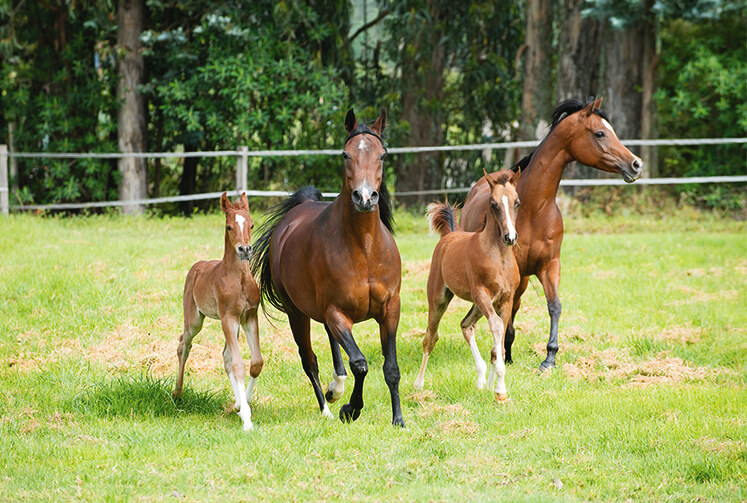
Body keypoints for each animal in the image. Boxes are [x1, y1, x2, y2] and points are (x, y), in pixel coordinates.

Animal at [173, 193, 262, 434]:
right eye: (229, 226)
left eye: (251, 224)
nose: (245, 249)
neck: (239, 279)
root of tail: (197, 266)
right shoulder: (228, 317)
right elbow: (238, 364)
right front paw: (247, 420)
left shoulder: (249, 317)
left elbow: (255, 362)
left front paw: (242, 405)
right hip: (194, 319)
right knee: (183, 344)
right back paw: (177, 392)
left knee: (225, 355)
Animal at [251, 108, 406, 428]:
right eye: (346, 154)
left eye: (382, 155)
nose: (365, 197)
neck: (364, 249)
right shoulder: (336, 312)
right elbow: (360, 363)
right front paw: (351, 409)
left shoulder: (390, 310)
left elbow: (391, 368)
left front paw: (398, 419)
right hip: (298, 314)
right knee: (309, 359)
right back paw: (327, 405)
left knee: (332, 345)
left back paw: (336, 386)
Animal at [414, 169, 520, 402]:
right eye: (493, 204)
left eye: (517, 202)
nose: (509, 237)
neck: (499, 257)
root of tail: (449, 235)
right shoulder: (481, 293)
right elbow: (496, 326)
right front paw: (501, 389)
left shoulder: (505, 299)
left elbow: (498, 344)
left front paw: (493, 387)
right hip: (439, 299)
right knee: (430, 338)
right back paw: (419, 385)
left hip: (479, 306)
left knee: (466, 324)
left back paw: (481, 381)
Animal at [462, 99, 644, 374]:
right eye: (600, 133)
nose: (636, 164)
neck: (533, 209)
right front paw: (504, 354)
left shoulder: (549, 266)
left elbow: (554, 305)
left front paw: (549, 357)